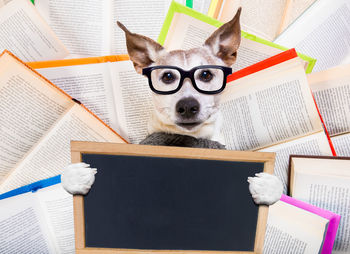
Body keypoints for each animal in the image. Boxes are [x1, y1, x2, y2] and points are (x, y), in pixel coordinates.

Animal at [62, 7, 282, 205]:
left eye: (206, 74)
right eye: (168, 76)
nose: (187, 106)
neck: (190, 140)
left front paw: (268, 187)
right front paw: (76, 176)